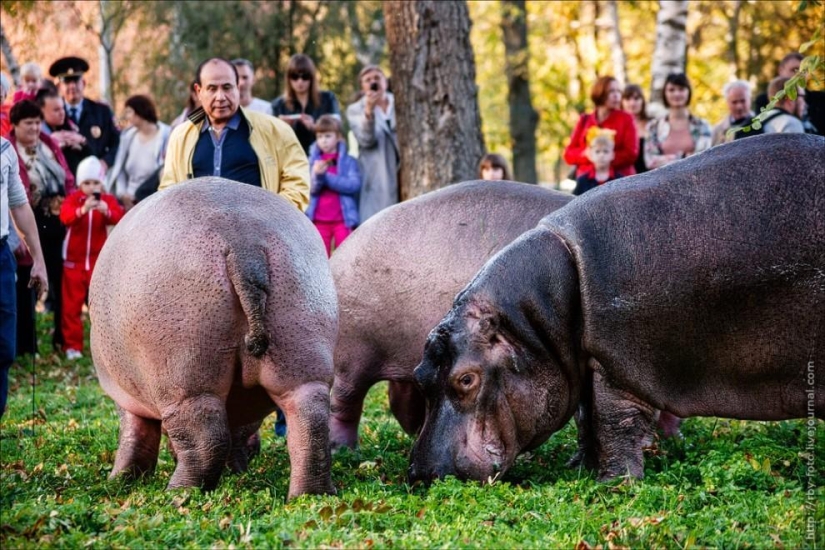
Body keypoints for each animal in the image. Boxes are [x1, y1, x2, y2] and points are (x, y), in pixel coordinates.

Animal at [90, 178, 337, 499]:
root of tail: (244, 242)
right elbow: (239, 433)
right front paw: (238, 470)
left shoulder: (125, 395)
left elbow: (134, 437)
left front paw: (120, 480)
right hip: (303, 352)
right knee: (311, 423)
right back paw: (310, 495)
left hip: (186, 379)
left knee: (203, 438)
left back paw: (178, 494)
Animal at [409, 134, 825, 484]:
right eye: (419, 374)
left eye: (466, 380)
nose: (421, 474)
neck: (533, 320)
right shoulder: (586, 359)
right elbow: (588, 419)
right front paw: (580, 470)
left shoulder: (617, 364)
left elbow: (612, 422)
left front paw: (614, 484)